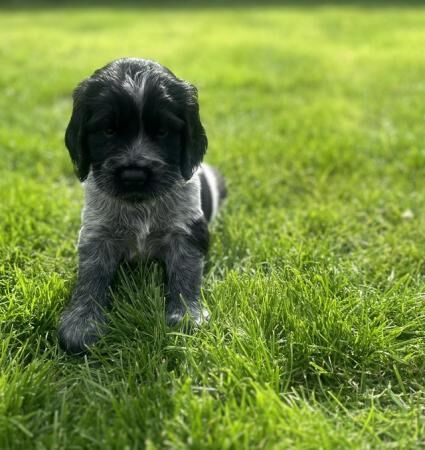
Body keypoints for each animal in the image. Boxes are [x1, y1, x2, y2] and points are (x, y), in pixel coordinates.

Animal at [58, 58, 229, 354]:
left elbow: (186, 272)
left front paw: (187, 315)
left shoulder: (187, 231)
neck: (139, 206)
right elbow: (90, 277)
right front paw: (82, 322)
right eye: (108, 131)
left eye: (162, 132)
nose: (134, 175)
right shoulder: (97, 233)